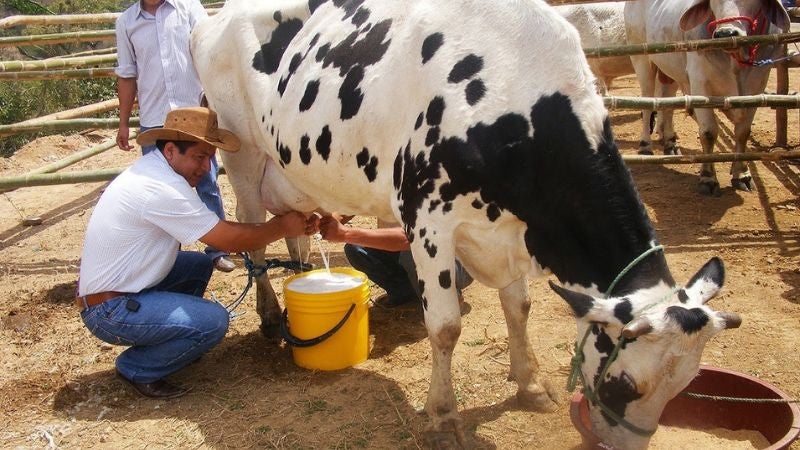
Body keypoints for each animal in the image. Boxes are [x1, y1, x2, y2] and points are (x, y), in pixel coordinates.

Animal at [191, 1, 740, 448]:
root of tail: (214, 19)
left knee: (293, 230)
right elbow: (446, 326)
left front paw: (531, 385)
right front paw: (442, 417)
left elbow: (518, 307)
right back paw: (269, 316)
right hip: (241, 154)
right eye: (629, 385)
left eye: (684, 386)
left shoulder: (512, 228)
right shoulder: (428, 217)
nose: (619, 443)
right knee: (252, 236)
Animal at [624, 0, 788, 193]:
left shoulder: (757, 86)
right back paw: (645, 146)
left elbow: (743, 132)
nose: (725, 33)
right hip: (642, 60)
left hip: (670, 71)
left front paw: (741, 174)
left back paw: (671, 143)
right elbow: (709, 132)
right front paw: (708, 178)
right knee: (648, 103)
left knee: (668, 103)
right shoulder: (699, 84)